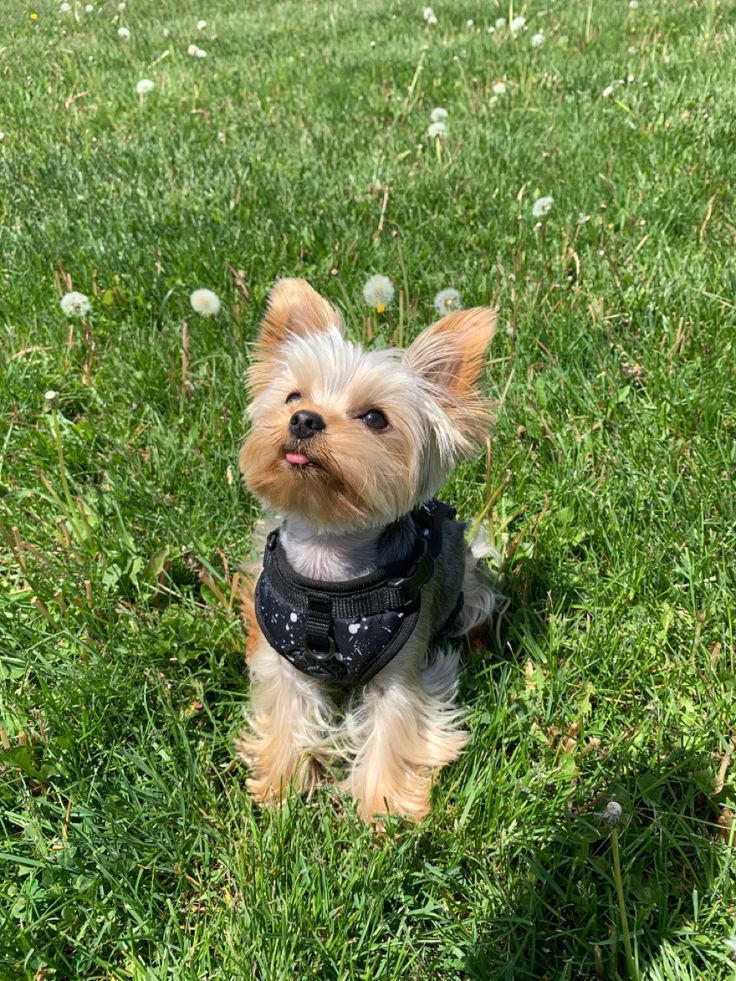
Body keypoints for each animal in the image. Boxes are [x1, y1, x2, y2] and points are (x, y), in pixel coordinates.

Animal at [236, 280, 500, 824]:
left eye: (376, 418)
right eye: (293, 396)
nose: (304, 419)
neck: (328, 563)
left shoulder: (402, 671)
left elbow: (394, 727)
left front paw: (381, 809)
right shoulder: (286, 665)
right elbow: (287, 710)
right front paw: (281, 785)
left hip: (471, 589)